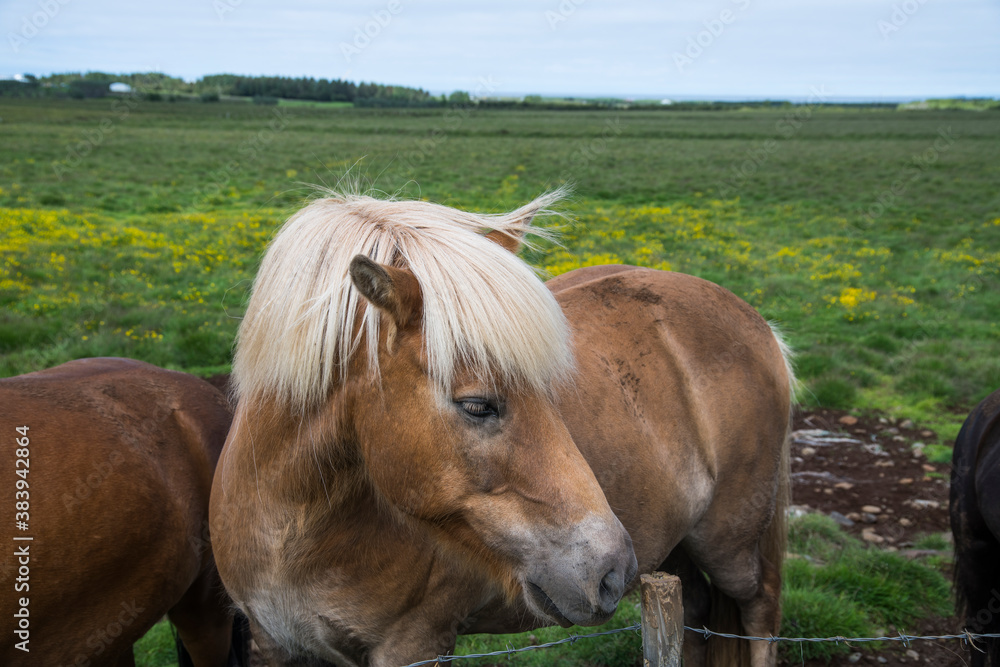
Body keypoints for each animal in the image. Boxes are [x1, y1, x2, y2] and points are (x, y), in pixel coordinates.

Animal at [213, 192, 796, 667]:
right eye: (477, 406)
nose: (611, 570)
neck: (293, 530)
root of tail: (755, 322)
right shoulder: (272, 643)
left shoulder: (412, 646)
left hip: (732, 545)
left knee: (760, 614)